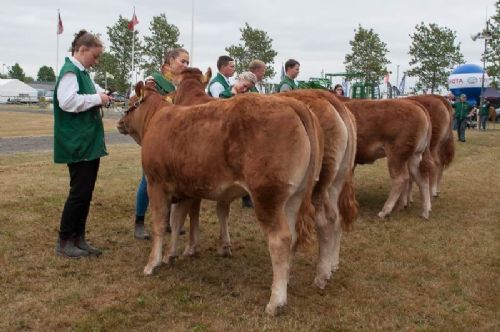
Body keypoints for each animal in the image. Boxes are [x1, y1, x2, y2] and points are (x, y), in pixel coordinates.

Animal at [120, 83, 322, 316]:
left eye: (131, 102)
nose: (120, 122)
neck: (157, 118)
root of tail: (291, 103)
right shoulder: (185, 190)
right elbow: (178, 221)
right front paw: (170, 255)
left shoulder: (156, 184)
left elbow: (160, 224)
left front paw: (152, 263)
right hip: (293, 198)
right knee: (293, 236)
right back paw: (285, 282)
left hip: (267, 196)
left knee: (280, 239)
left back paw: (276, 301)